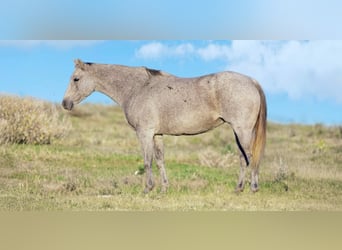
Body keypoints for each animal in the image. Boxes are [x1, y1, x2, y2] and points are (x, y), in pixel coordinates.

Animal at [63, 58, 268, 193]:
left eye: (76, 79)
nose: (65, 103)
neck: (138, 88)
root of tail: (251, 81)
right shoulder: (157, 135)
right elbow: (160, 160)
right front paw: (163, 188)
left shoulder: (144, 133)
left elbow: (147, 161)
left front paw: (147, 189)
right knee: (244, 157)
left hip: (242, 130)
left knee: (248, 156)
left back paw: (248, 187)